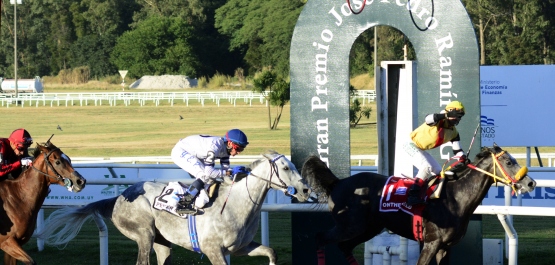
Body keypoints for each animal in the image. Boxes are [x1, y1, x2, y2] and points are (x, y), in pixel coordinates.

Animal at [37, 151, 310, 264]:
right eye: (285, 167)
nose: (306, 190)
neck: (235, 205)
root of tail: (120, 197)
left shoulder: (241, 247)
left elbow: (271, 252)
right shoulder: (213, 250)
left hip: (162, 242)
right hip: (143, 234)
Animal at [304, 143, 540, 264]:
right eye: (509, 161)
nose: (531, 182)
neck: (454, 198)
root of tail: (338, 182)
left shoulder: (445, 247)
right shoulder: (431, 243)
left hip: (368, 228)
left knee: (344, 246)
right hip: (350, 226)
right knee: (320, 238)